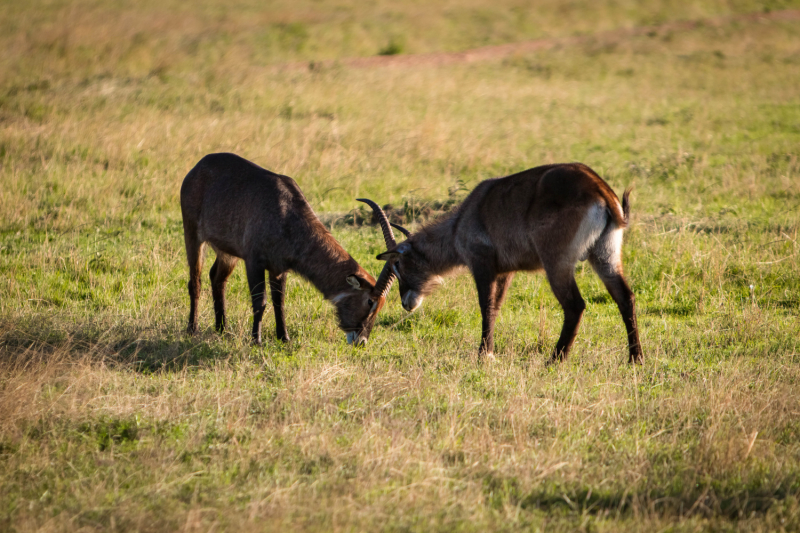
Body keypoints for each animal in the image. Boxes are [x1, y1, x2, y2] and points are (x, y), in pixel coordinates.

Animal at [178, 152, 396, 348]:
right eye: (370, 301)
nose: (361, 341)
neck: (287, 213)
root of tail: (198, 166)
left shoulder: (278, 268)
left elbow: (279, 302)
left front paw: (284, 337)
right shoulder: (254, 262)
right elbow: (261, 301)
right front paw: (256, 341)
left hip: (227, 252)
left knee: (217, 278)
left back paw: (222, 329)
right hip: (193, 236)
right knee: (195, 282)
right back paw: (192, 329)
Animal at [362, 162, 644, 362]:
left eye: (397, 266)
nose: (405, 303)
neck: (459, 223)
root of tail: (599, 188)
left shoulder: (482, 265)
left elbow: (485, 306)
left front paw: (483, 354)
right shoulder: (506, 272)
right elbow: (497, 307)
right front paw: (488, 350)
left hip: (557, 263)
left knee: (575, 305)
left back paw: (555, 359)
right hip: (605, 256)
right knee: (625, 297)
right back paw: (635, 359)